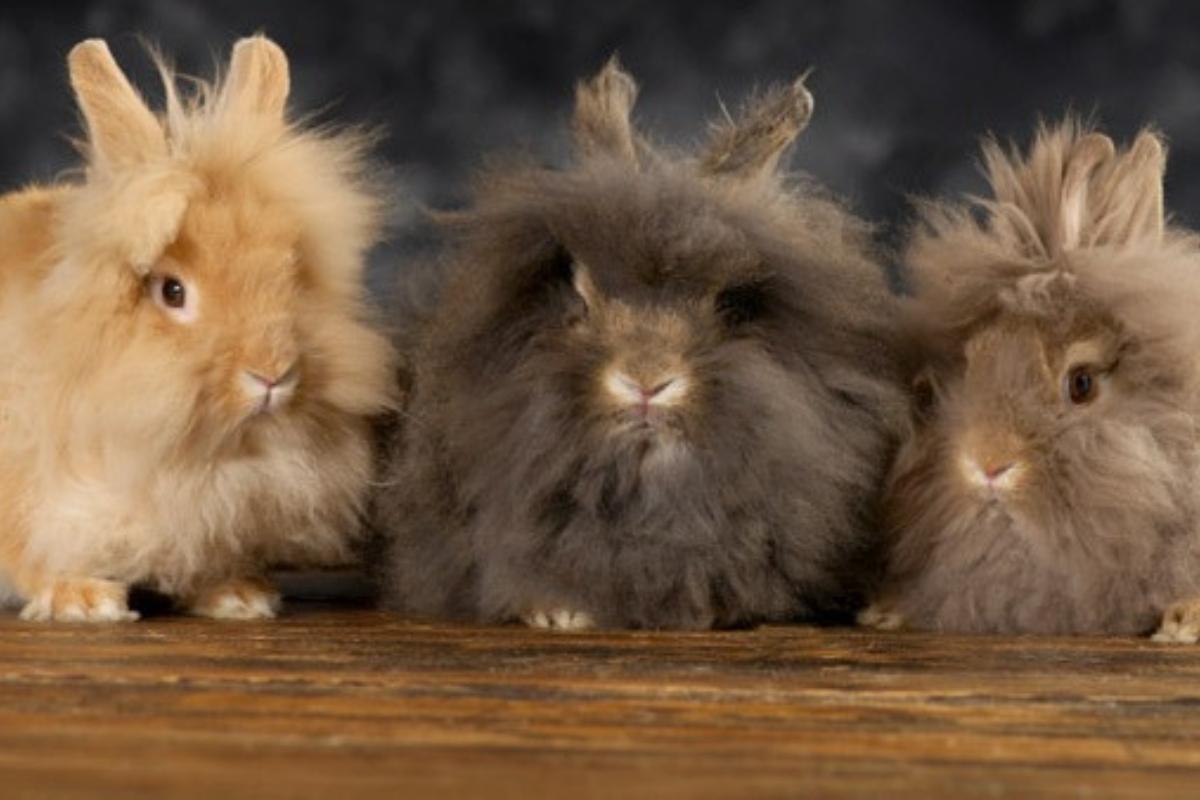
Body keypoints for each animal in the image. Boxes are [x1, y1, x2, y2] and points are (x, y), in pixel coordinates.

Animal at [0, 36, 396, 621]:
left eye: (290, 271)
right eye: (172, 291)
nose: (273, 374)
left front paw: (238, 595)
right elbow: (31, 553)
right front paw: (85, 601)